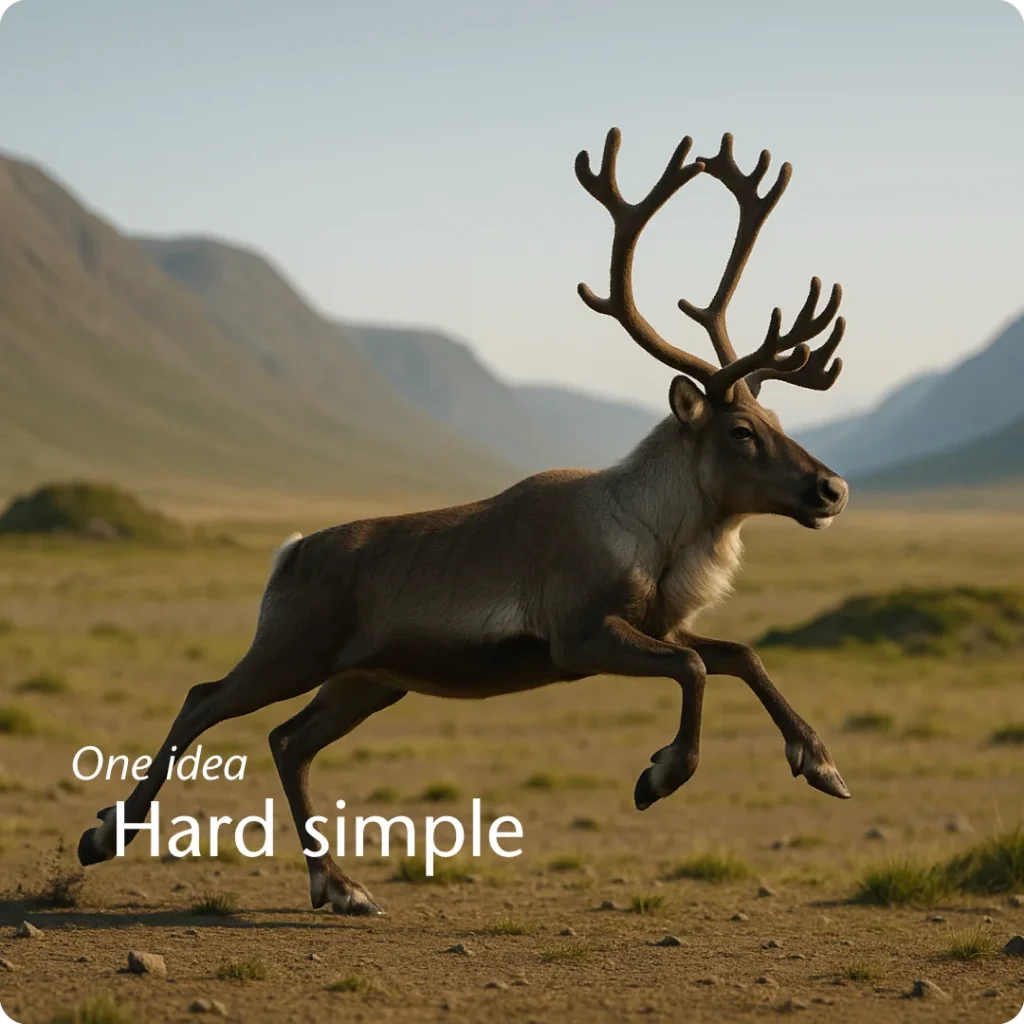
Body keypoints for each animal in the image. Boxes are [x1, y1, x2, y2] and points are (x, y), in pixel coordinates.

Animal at [77, 127, 852, 917]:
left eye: (776, 417)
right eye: (741, 431)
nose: (832, 489)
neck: (656, 536)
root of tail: (288, 553)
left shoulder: (656, 624)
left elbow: (740, 654)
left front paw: (820, 762)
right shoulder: (579, 635)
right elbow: (695, 668)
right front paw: (659, 775)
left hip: (368, 678)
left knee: (288, 741)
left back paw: (340, 885)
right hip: (292, 649)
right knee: (203, 701)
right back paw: (106, 834)